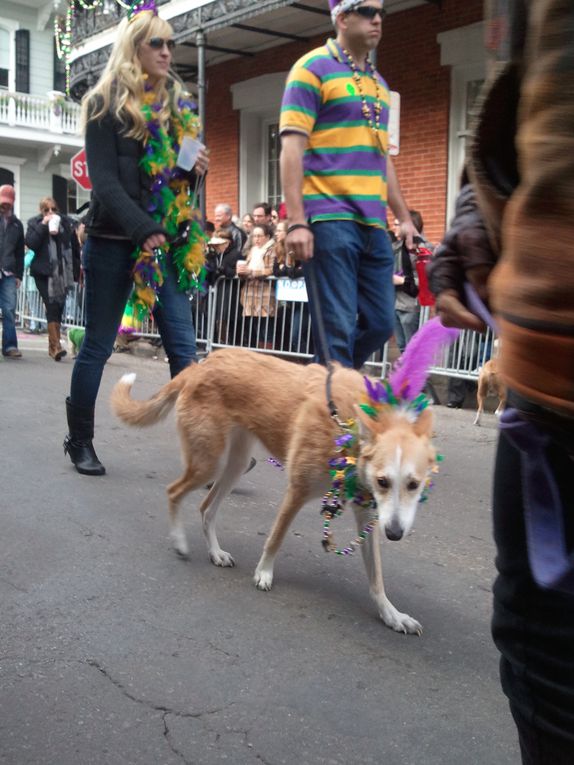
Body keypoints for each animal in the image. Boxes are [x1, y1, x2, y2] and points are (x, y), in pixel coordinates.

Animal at [111, 348, 436, 632]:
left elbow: (376, 577)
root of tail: (199, 365)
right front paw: (263, 572)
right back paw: (179, 542)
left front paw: (391, 614)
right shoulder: (297, 491)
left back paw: (215, 553)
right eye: (383, 481)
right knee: (173, 492)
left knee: (206, 509)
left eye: (413, 484)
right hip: (209, 464)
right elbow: (275, 538)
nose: (394, 533)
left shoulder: (367, 513)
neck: (348, 429)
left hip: (235, 465)